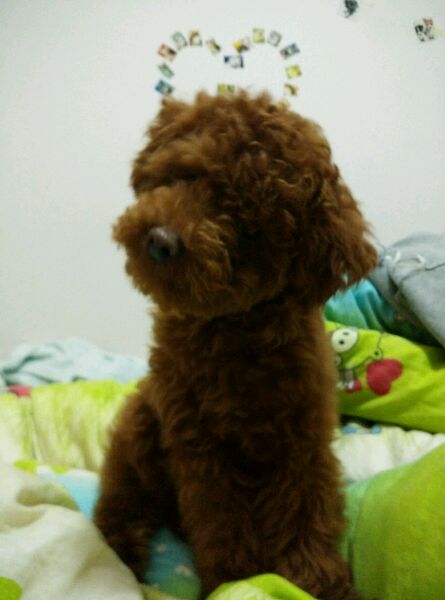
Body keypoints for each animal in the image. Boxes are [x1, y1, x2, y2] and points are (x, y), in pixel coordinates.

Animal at [94, 91, 377, 599]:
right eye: (185, 174)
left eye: (246, 227)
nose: (161, 240)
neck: (232, 330)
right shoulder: (202, 446)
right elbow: (223, 518)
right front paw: (238, 578)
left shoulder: (301, 434)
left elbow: (305, 503)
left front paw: (312, 577)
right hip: (141, 427)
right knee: (121, 494)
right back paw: (120, 549)